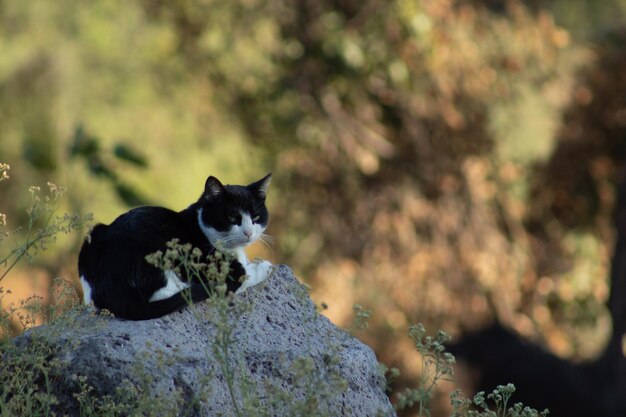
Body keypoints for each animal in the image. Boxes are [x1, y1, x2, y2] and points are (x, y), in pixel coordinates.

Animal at [78, 172, 272, 318]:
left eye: (255, 217)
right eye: (232, 218)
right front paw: (263, 266)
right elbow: (245, 275)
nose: (249, 233)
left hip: (94, 233)